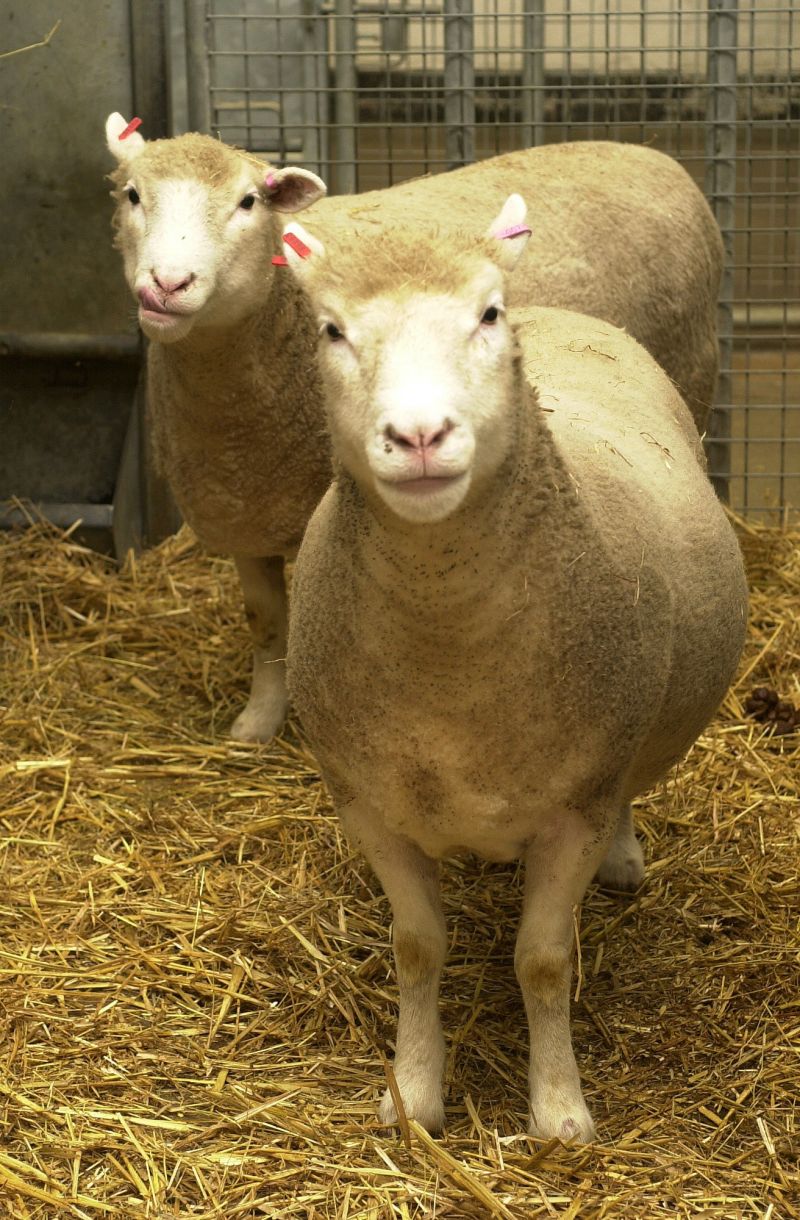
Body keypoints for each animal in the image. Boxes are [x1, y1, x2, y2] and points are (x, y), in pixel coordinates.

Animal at [105, 112, 723, 742]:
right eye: (132, 194)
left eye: (247, 201)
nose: (167, 284)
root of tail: (649, 153)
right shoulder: (244, 519)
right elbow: (266, 624)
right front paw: (258, 723)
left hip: (691, 381)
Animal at [280, 197, 748, 1142]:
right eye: (331, 330)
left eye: (488, 315)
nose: (420, 435)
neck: (446, 650)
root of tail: (564, 313)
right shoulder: (368, 804)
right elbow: (416, 948)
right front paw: (414, 1094)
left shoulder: (575, 803)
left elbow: (542, 962)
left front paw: (559, 1113)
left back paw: (625, 860)